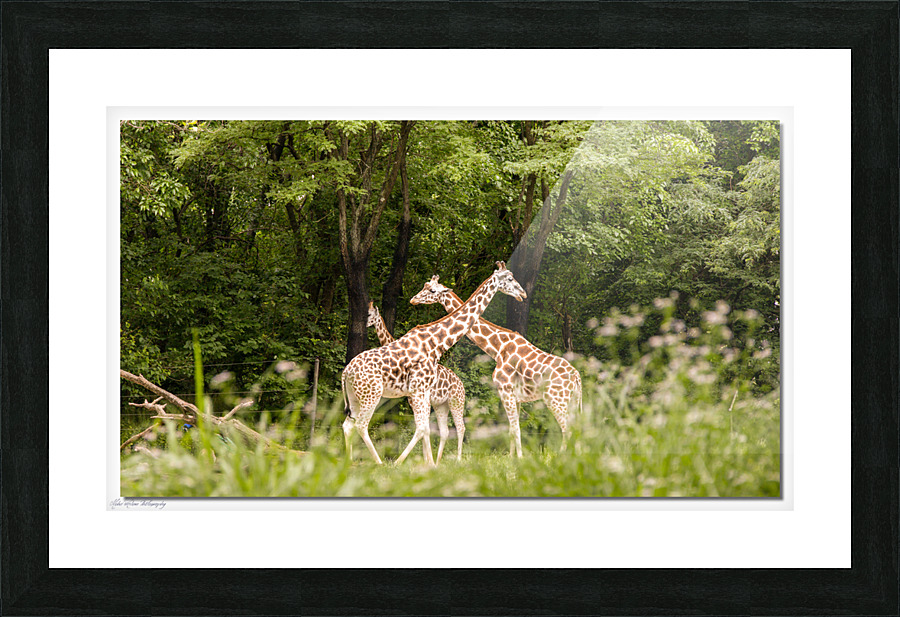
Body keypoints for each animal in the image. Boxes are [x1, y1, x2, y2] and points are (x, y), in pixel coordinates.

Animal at [367, 302, 467, 462]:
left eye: (370, 314)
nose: (365, 323)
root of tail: (461, 384)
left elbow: (424, 427)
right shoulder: (413, 399)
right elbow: (423, 427)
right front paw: (426, 460)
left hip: (456, 402)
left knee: (461, 427)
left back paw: (458, 460)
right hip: (442, 404)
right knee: (445, 431)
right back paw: (438, 461)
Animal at [410, 275, 582, 458]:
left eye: (431, 290)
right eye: (424, 286)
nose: (413, 299)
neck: (498, 348)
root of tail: (577, 378)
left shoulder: (505, 390)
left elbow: (515, 429)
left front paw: (519, 458)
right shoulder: (516, 396)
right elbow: (512, 429)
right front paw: (512, 458)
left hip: (556, 400)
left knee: (567, 429)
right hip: (572, 400)